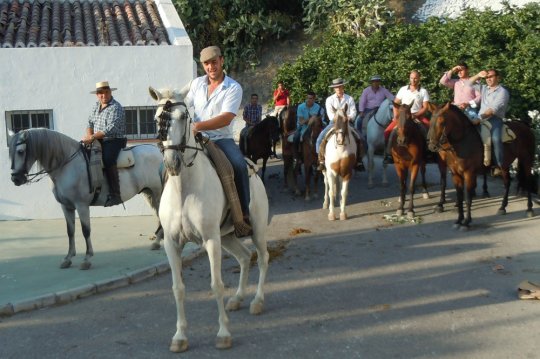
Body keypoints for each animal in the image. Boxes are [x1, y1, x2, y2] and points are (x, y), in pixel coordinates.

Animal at [7, 129, 162, 270]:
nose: (15, 179)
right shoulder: (66, 206)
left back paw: (158, 241)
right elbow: (70, 231)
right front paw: (68, 258)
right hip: (148, 193)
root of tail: (158, 151)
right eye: (10, 152)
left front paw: (87, 259)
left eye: (20, 151)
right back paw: (157, 240)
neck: (67, 165)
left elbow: (85, 230)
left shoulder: (81, 205)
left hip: (158, 192)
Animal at [150, 86, 270, 352]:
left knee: (262, 258)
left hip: (255, 229)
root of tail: (253, 170)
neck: (184, 189)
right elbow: (178, 289)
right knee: (245, 257)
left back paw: (257, 302)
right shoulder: (172, 244)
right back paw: (237, 299)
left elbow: (217, 285)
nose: (172, 163)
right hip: (228, 236)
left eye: (183, 117)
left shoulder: (211, 241)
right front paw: (180, 337)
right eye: (156, 119)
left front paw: (223, 334)